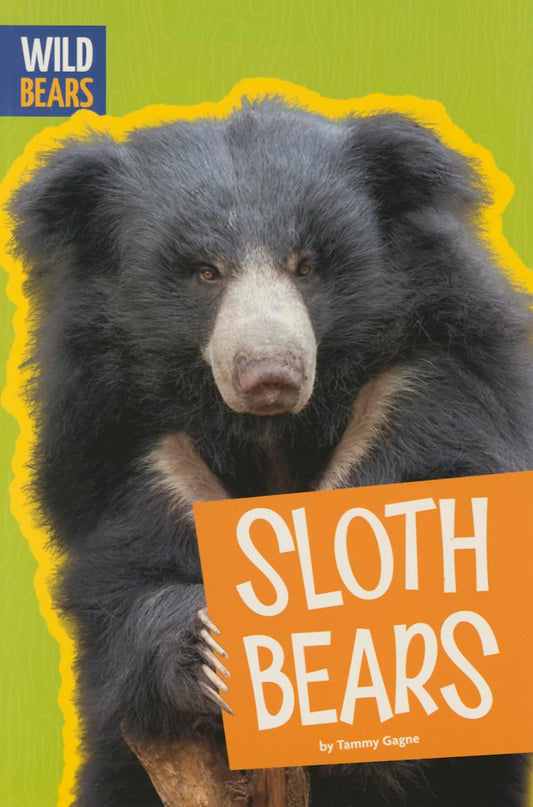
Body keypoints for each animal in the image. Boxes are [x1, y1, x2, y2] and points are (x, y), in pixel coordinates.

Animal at [8, 97, 532, 806]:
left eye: (305, 266)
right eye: (206, 272)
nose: (269, 375)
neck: (272, 436)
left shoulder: (426, 392)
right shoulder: (133, 452)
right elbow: (123, 582)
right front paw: (211, 653)